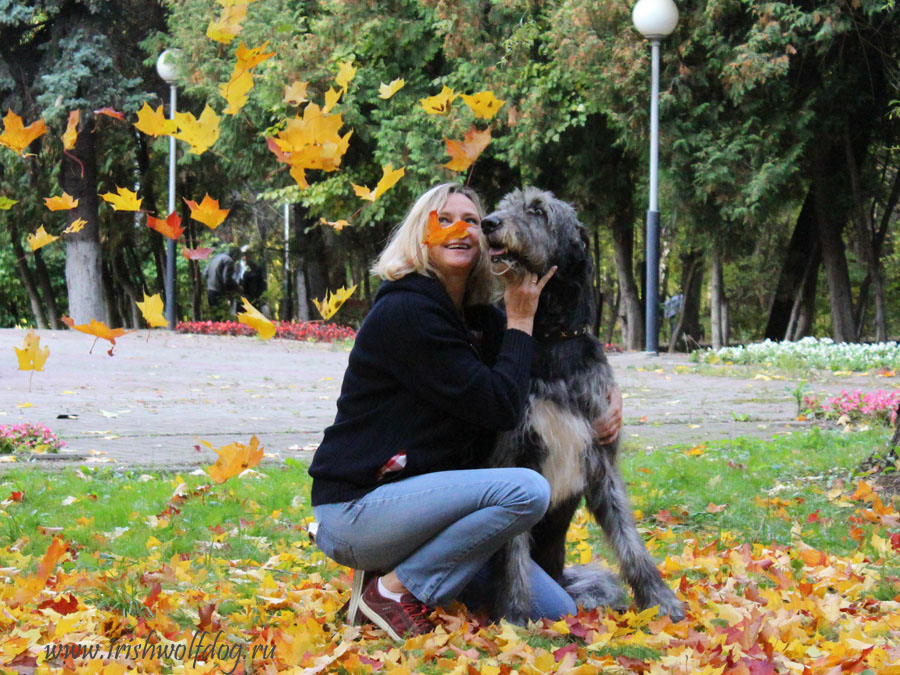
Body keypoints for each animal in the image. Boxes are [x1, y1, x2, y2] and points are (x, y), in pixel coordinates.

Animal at [482, 187, 684, 624]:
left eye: (538, 211)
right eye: (504, 205)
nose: (488, 223)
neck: (549, 338)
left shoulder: (601, 459)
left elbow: (629, 538)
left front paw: (660, 599)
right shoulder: (515, 459)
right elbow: (513, 552)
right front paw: (515, 616)